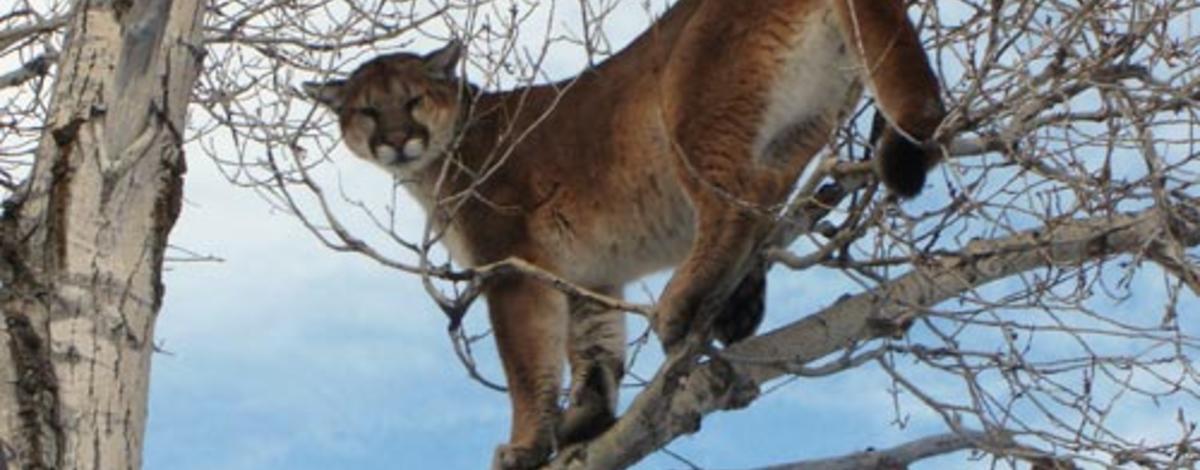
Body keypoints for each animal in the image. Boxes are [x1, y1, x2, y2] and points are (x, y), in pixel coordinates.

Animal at [304, 0, 940, 465]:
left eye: (412, 100)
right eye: (366, 111)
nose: (394, 140)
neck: (442, 159)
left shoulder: (511, 268)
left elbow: (526, 364)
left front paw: (525, 446)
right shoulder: (591, 272)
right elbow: (593, 343)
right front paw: (586, 419)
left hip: (690, 104)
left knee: (739, 200)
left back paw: (684, 304)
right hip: (811, 115)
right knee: (769, 197)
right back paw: (738, 303)